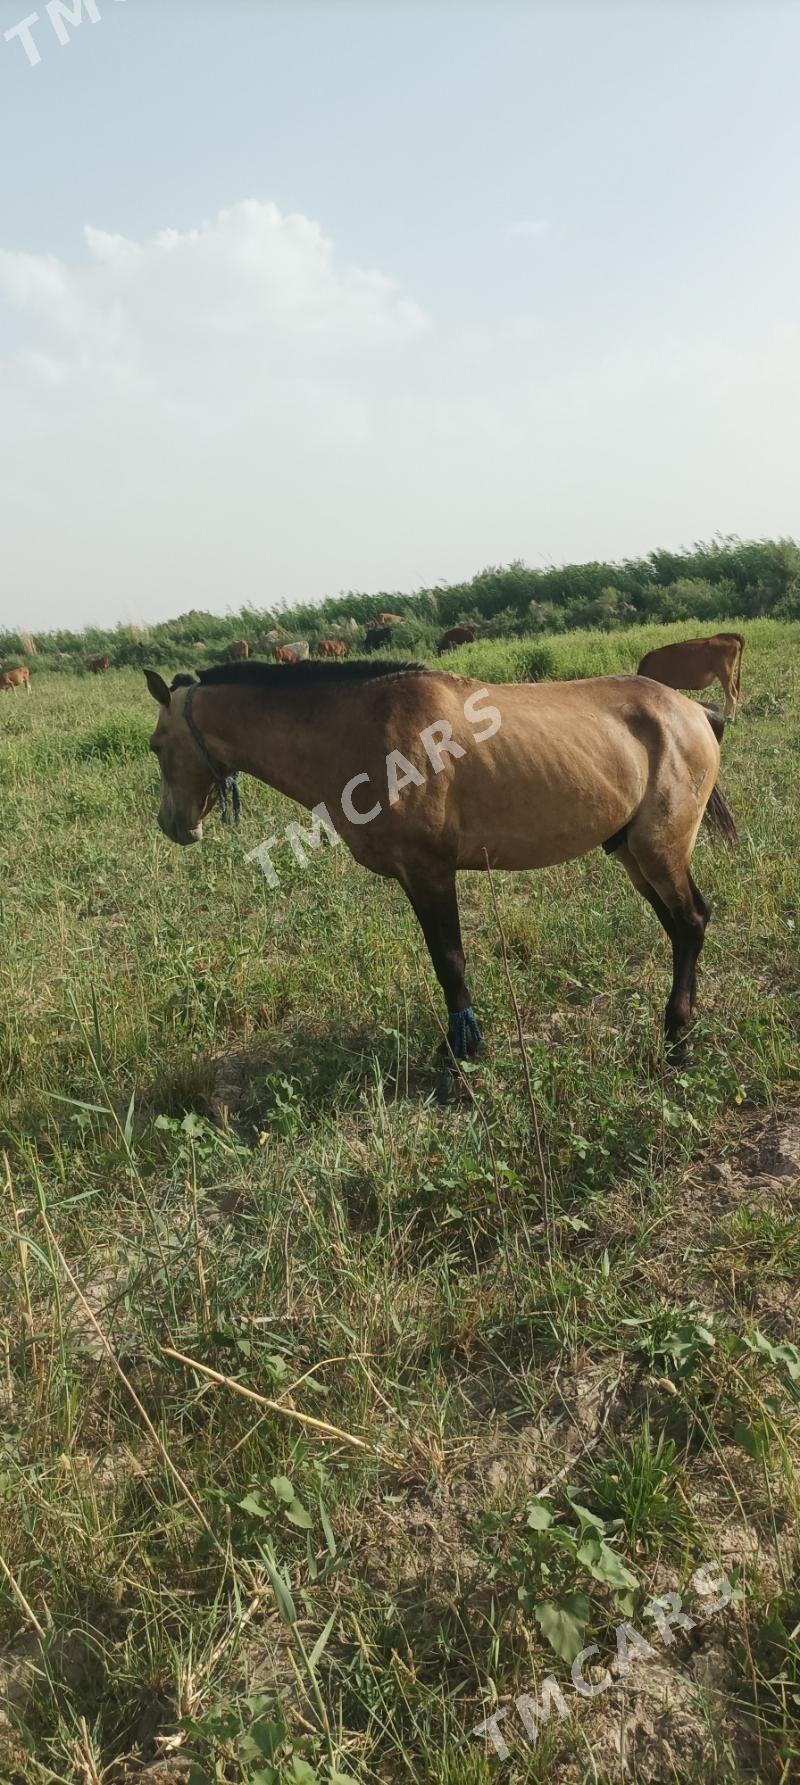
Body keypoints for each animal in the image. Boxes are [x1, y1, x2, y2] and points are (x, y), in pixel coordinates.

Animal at [145, 667, 735, 1056]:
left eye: (154, 744)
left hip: (660, 848)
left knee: (690, 922)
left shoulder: (429, 871)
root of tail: (695, 712)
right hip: (635, 851)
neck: (360, 729)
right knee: (681, 927)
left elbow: (449, 961)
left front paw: (463, 1054)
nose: (173, 824)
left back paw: (677, 1034)